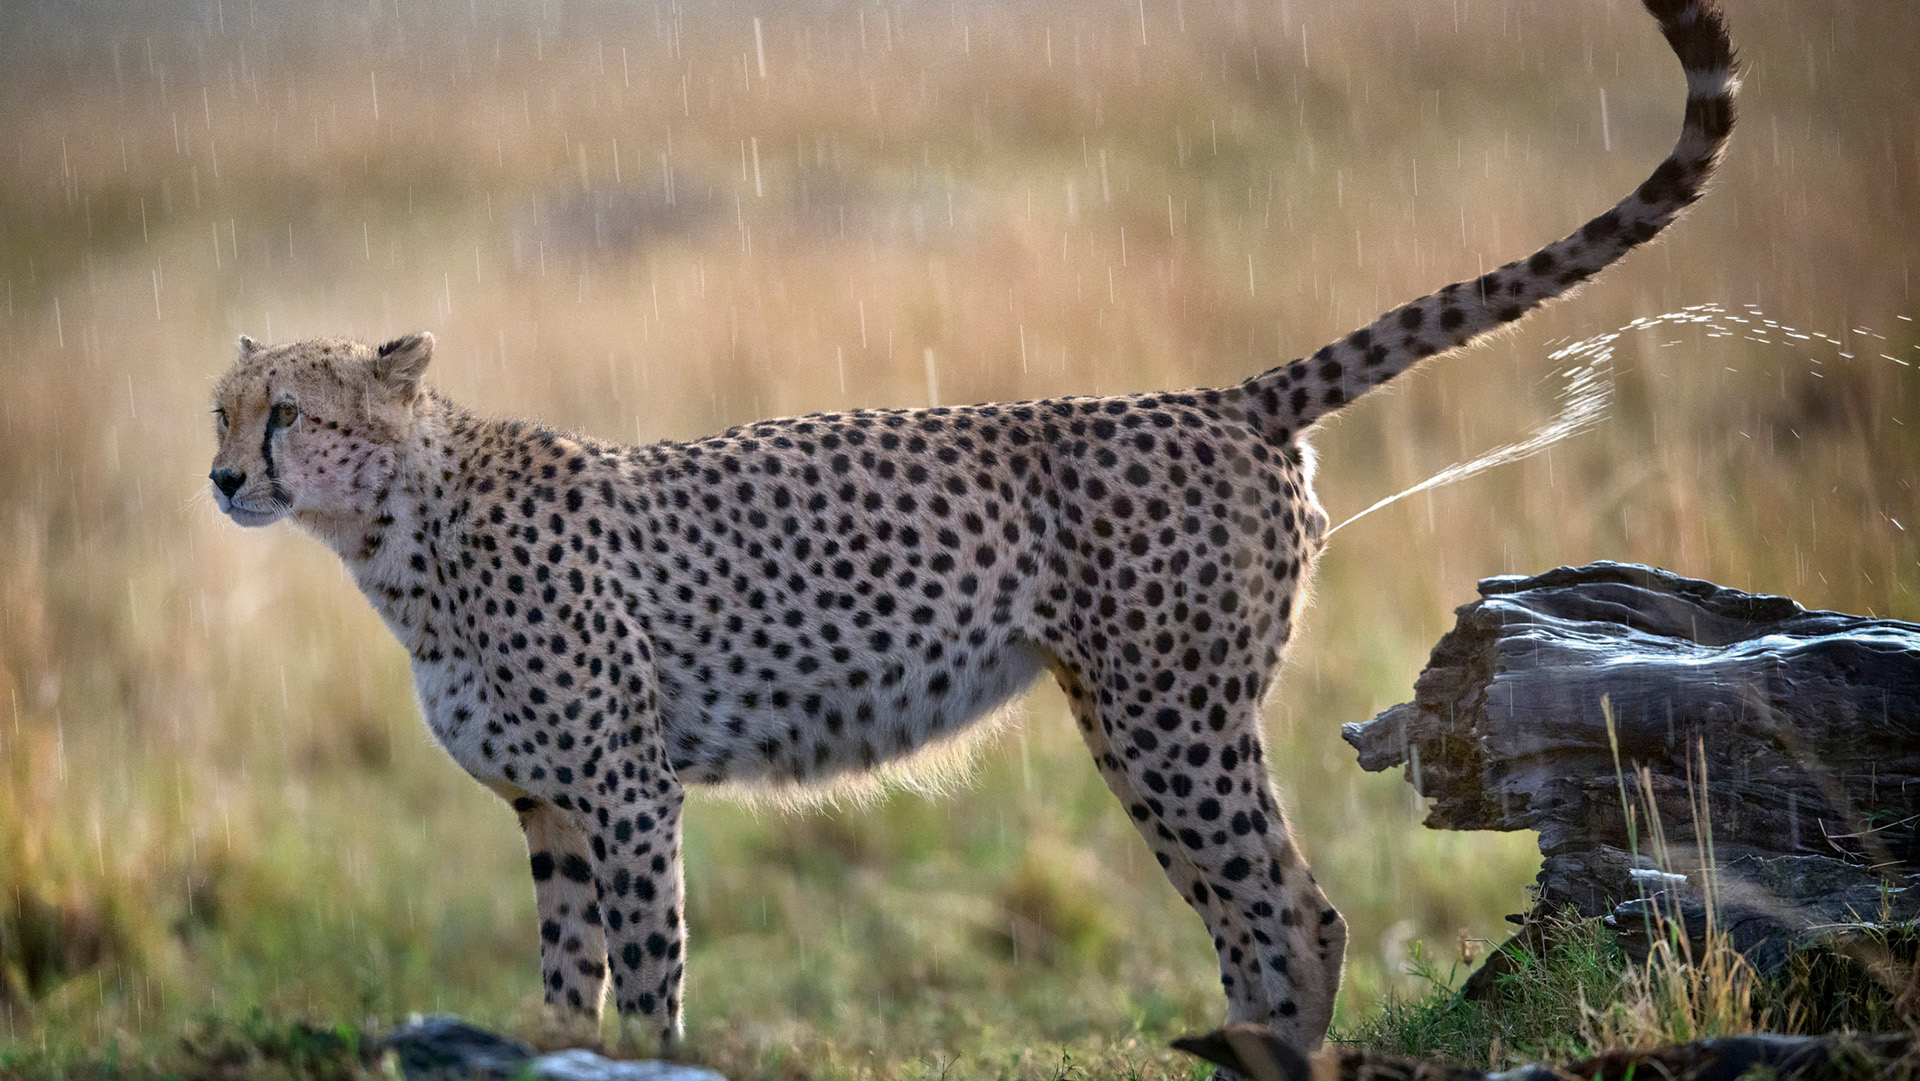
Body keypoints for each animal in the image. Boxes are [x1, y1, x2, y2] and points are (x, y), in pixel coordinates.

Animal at [208, 0, 1734, 1053]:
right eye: (220, 411)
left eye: (286, 413)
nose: (224, 481)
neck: (395, 536)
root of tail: (1218, 393)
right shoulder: (551, 808)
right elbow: (560, 983)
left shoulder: (627, 791)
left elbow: (645, 978)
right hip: (1140, 714)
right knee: (1248, 911)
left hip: (1165, 711)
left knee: (1295, 909)